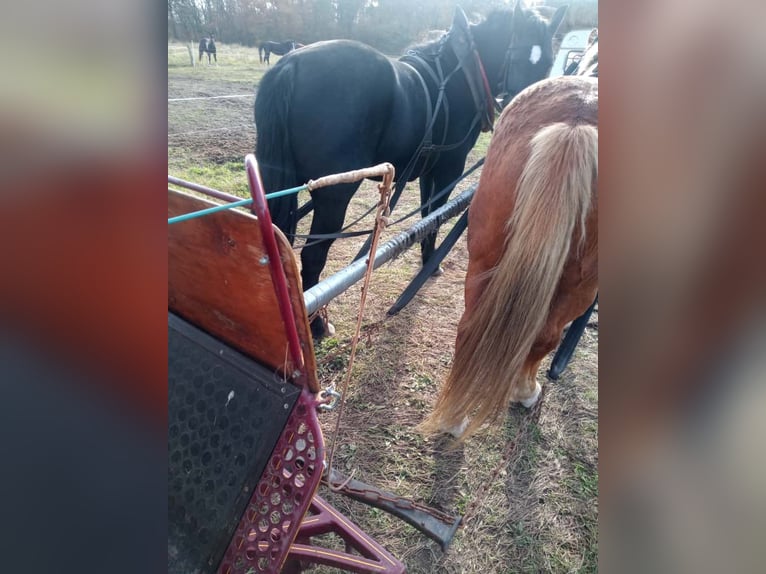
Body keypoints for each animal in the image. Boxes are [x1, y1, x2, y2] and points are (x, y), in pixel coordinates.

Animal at [255, 2, 568, 338]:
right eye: (514, 55)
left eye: (548, 62)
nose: (531, 118)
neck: (461, 73)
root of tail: (291, 65)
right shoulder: (449, 167)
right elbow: (436, 214)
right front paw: (431, 262)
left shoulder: (428, 169)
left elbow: (426, 214)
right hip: (335, 194)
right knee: (312, 255)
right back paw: (317, 325)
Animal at [420, 75, 598, 439]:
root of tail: (576, 123)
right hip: (583, 283)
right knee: (545, 336)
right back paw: (526, 392)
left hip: (484, 257)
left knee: (470, 328)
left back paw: (453, 419)